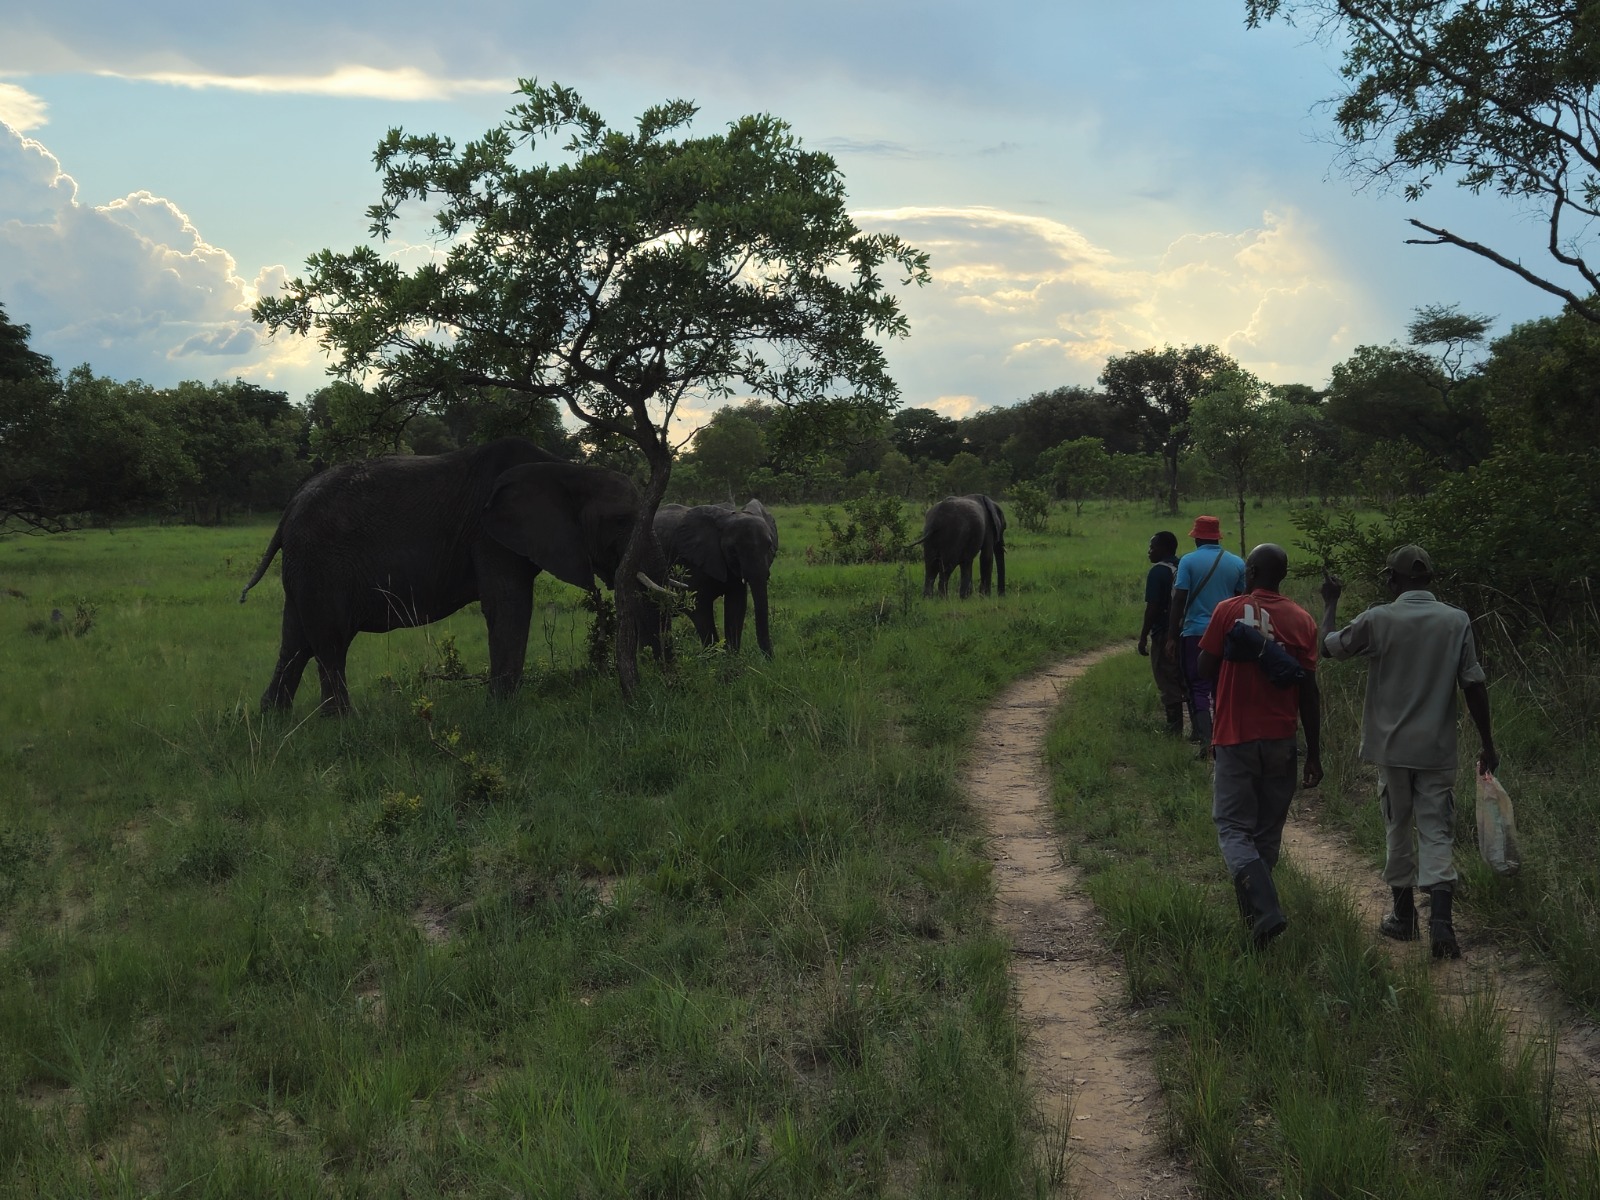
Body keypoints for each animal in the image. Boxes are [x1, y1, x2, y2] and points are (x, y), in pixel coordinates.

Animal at [239, 437, 671, 713]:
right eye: (621, 521)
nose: (664, 687)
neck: (567, 470)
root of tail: (289, 508)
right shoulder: (489, 534)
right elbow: (509, 606)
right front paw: (502, 714)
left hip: (307, 565)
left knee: (295, 642)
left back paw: (273, 721)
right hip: (322, 562)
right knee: (329, 642)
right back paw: (343, 724)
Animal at [654, 500, 779, 655]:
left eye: (769, 547)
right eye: (733, 551)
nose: (769, 658)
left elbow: (737, 604)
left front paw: (732, 657)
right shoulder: (689, 561)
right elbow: (698, 607)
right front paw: (714, 657)